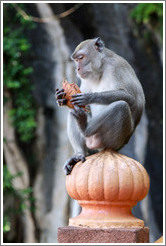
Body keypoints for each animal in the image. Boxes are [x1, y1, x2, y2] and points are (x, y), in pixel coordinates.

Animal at [55, 37, 145, 175]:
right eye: (76, 60)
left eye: (80, 58)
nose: (77, 69)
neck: (101, 68)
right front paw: (61, 97)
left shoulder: (115, 67)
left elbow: (130, 98)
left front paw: (89, 97)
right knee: (73, 111)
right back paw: (79, 153)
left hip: (113, 140)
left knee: (121, 106)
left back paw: (84, 128)